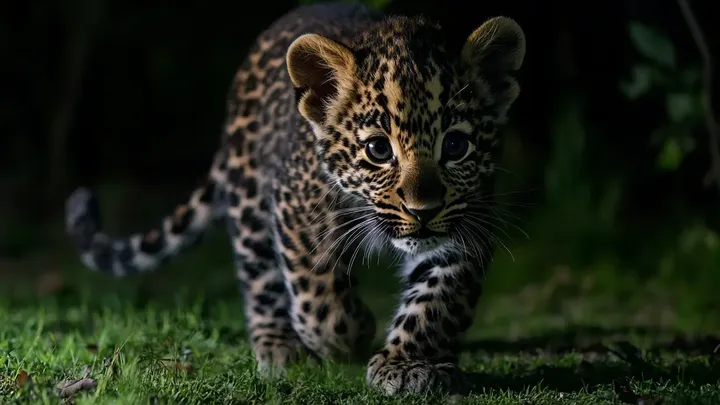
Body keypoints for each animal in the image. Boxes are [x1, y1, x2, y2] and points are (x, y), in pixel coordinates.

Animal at [64, 2, 525, 395]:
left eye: (456, 146)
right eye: (378, 149)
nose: (422, 211)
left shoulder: (468, 220)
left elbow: (437, 300)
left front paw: (410, 364)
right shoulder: (297, 211)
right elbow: (318, 296)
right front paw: (351, 336)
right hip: (250, 198)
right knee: (259, 277)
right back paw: (278, 346)